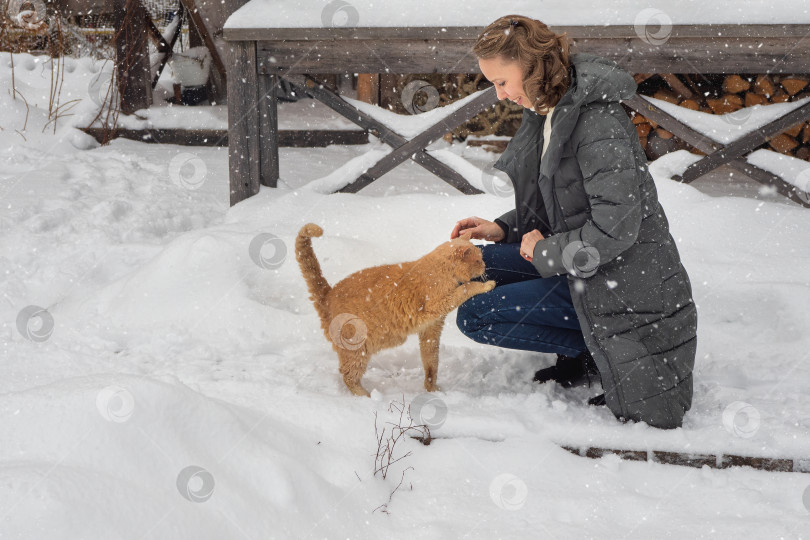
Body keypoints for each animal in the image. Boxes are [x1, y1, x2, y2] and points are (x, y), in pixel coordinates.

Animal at [292, 224, 492, 396]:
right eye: (478, 259)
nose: (485, 265)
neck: (441, 271)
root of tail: (328, 294)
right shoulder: (438, 304)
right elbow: (467, 288)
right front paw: (487, 285)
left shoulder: (431, 330)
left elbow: (431, 364)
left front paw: (432, 389)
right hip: (357, 351)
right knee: (347, 375)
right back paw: (366, 397)